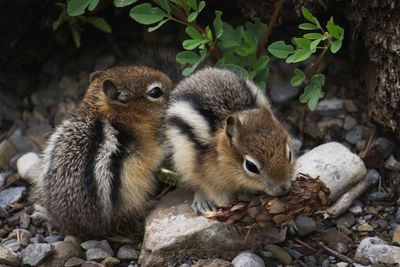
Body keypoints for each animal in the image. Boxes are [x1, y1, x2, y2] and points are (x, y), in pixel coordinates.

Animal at [165, 68, 294, 215]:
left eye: (289, 155)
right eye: (251, 166)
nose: (283, 188)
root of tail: (193, 76)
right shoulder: (212, 181)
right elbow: (218, 196)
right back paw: (202, 202)